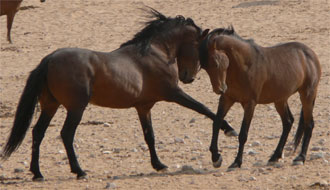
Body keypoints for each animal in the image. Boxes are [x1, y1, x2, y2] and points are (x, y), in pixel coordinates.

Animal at [200, 26, 320, 169]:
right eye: (204, 66)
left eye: (216, 63)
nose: (220, 89)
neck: (245, 65)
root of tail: (310, 53)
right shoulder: (226, 99)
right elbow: (216, 123)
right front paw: (216, 157)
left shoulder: (250, 104)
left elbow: (243, 134)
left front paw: (237, 162)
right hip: (280, 100)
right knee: (288, 122)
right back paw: (275, 156)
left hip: (307, 95)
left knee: (308, 124)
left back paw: (300, 157)